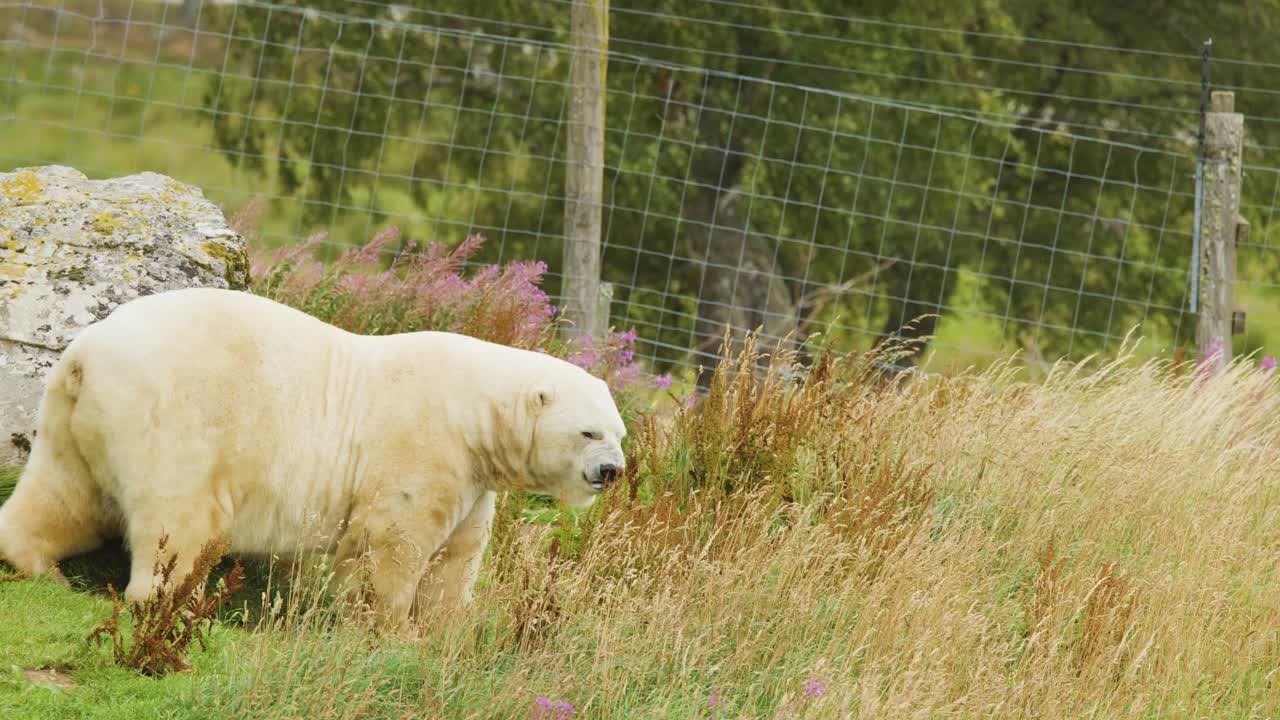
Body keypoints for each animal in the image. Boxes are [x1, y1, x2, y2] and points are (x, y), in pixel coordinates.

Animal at [0, 287, 627, 629]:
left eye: (621, 434)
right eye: (589, 431)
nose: (611, 471)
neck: (475, 408)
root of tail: (83, 354)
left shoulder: (473, 480)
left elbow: (456, 557)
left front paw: (449, 626)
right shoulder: (423, 445)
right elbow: (391, 543)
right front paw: (389, 626)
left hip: (73, 420)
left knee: (65, 496)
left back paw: (40, 565)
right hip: (174, 420)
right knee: (180, 520)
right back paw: (169, 599)